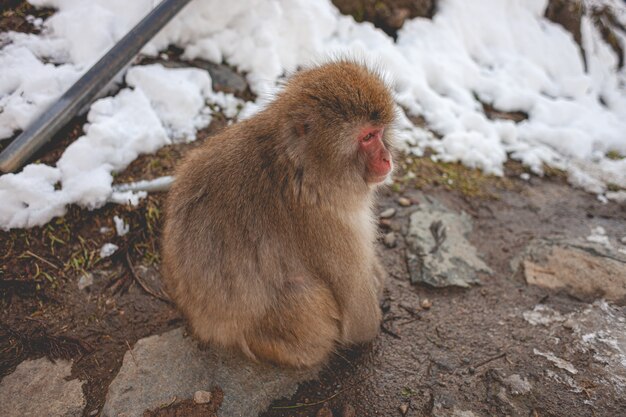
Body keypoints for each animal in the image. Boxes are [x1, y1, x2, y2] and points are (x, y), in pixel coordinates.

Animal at [162, 59, 394, 368]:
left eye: (380, 133)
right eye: (367, 137)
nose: (387, 159)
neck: (297, 166)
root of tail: (203, 324)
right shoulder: (326, 221)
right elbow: (358, 316)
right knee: (307, 298)